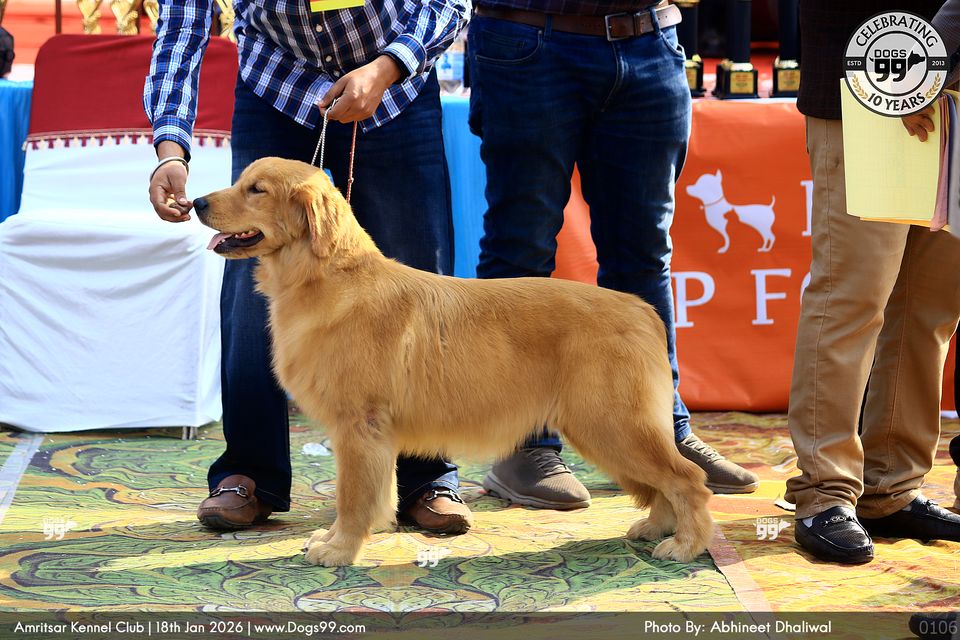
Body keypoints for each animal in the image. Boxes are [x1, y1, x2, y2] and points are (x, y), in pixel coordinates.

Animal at [195, 158, 714, 567]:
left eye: (256, 189)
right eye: (243, 180)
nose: (196, 201)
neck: (325, 277)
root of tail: (643, 309)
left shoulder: (359, 427)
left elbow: (352, 497)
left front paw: (340, 550)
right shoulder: (369, 436)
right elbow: (369, 495)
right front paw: (340, 539)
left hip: (612, 425)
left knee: (689, 479)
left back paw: (686, 545)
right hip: (606, 430)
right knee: (665, 484)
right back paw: (657, 527)